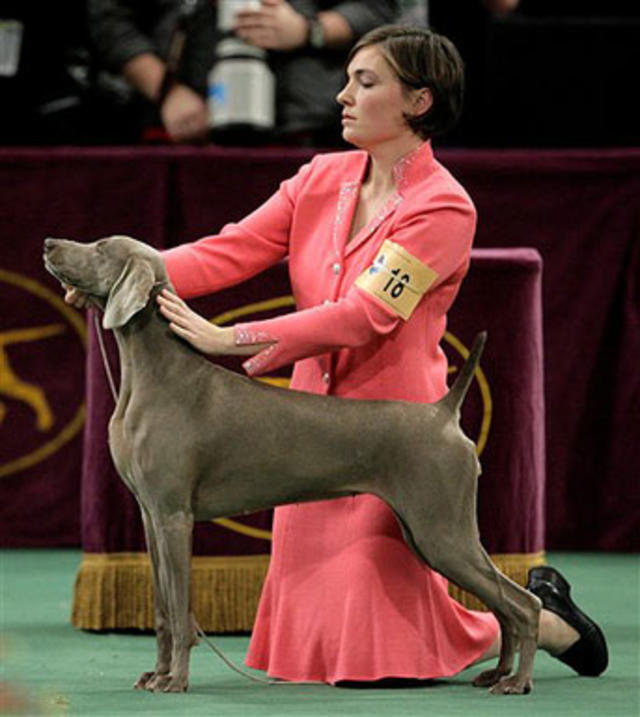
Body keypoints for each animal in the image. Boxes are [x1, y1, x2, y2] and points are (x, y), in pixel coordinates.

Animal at [42, 235, 540, 692]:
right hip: (428, 533)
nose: (48, 243)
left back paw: (516, 681)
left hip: (443, 531)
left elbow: (182, 614)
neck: (153, 376)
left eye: (101, 248)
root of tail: (442, 412)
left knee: (523, 603)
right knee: (502, 605)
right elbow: (164, 611)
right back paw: (498, 673)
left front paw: (176, 680)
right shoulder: (151, 516)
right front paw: (157, 674)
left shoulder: (174, 516)